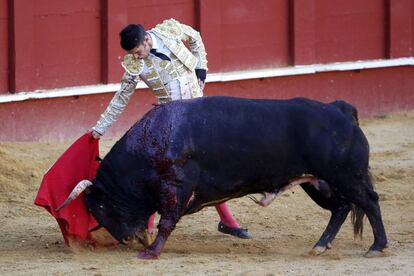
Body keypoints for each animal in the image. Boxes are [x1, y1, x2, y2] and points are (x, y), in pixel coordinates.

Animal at [56, 96, 386, 258]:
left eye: (99, 207)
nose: (127, 240)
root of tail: (338, 110)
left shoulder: (175, 188)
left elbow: (166, 221)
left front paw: (150, 252)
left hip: (346, 176)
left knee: (369, 202)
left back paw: (376, 247)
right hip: (319, 182)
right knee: (341, 208)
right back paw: (320, 246)